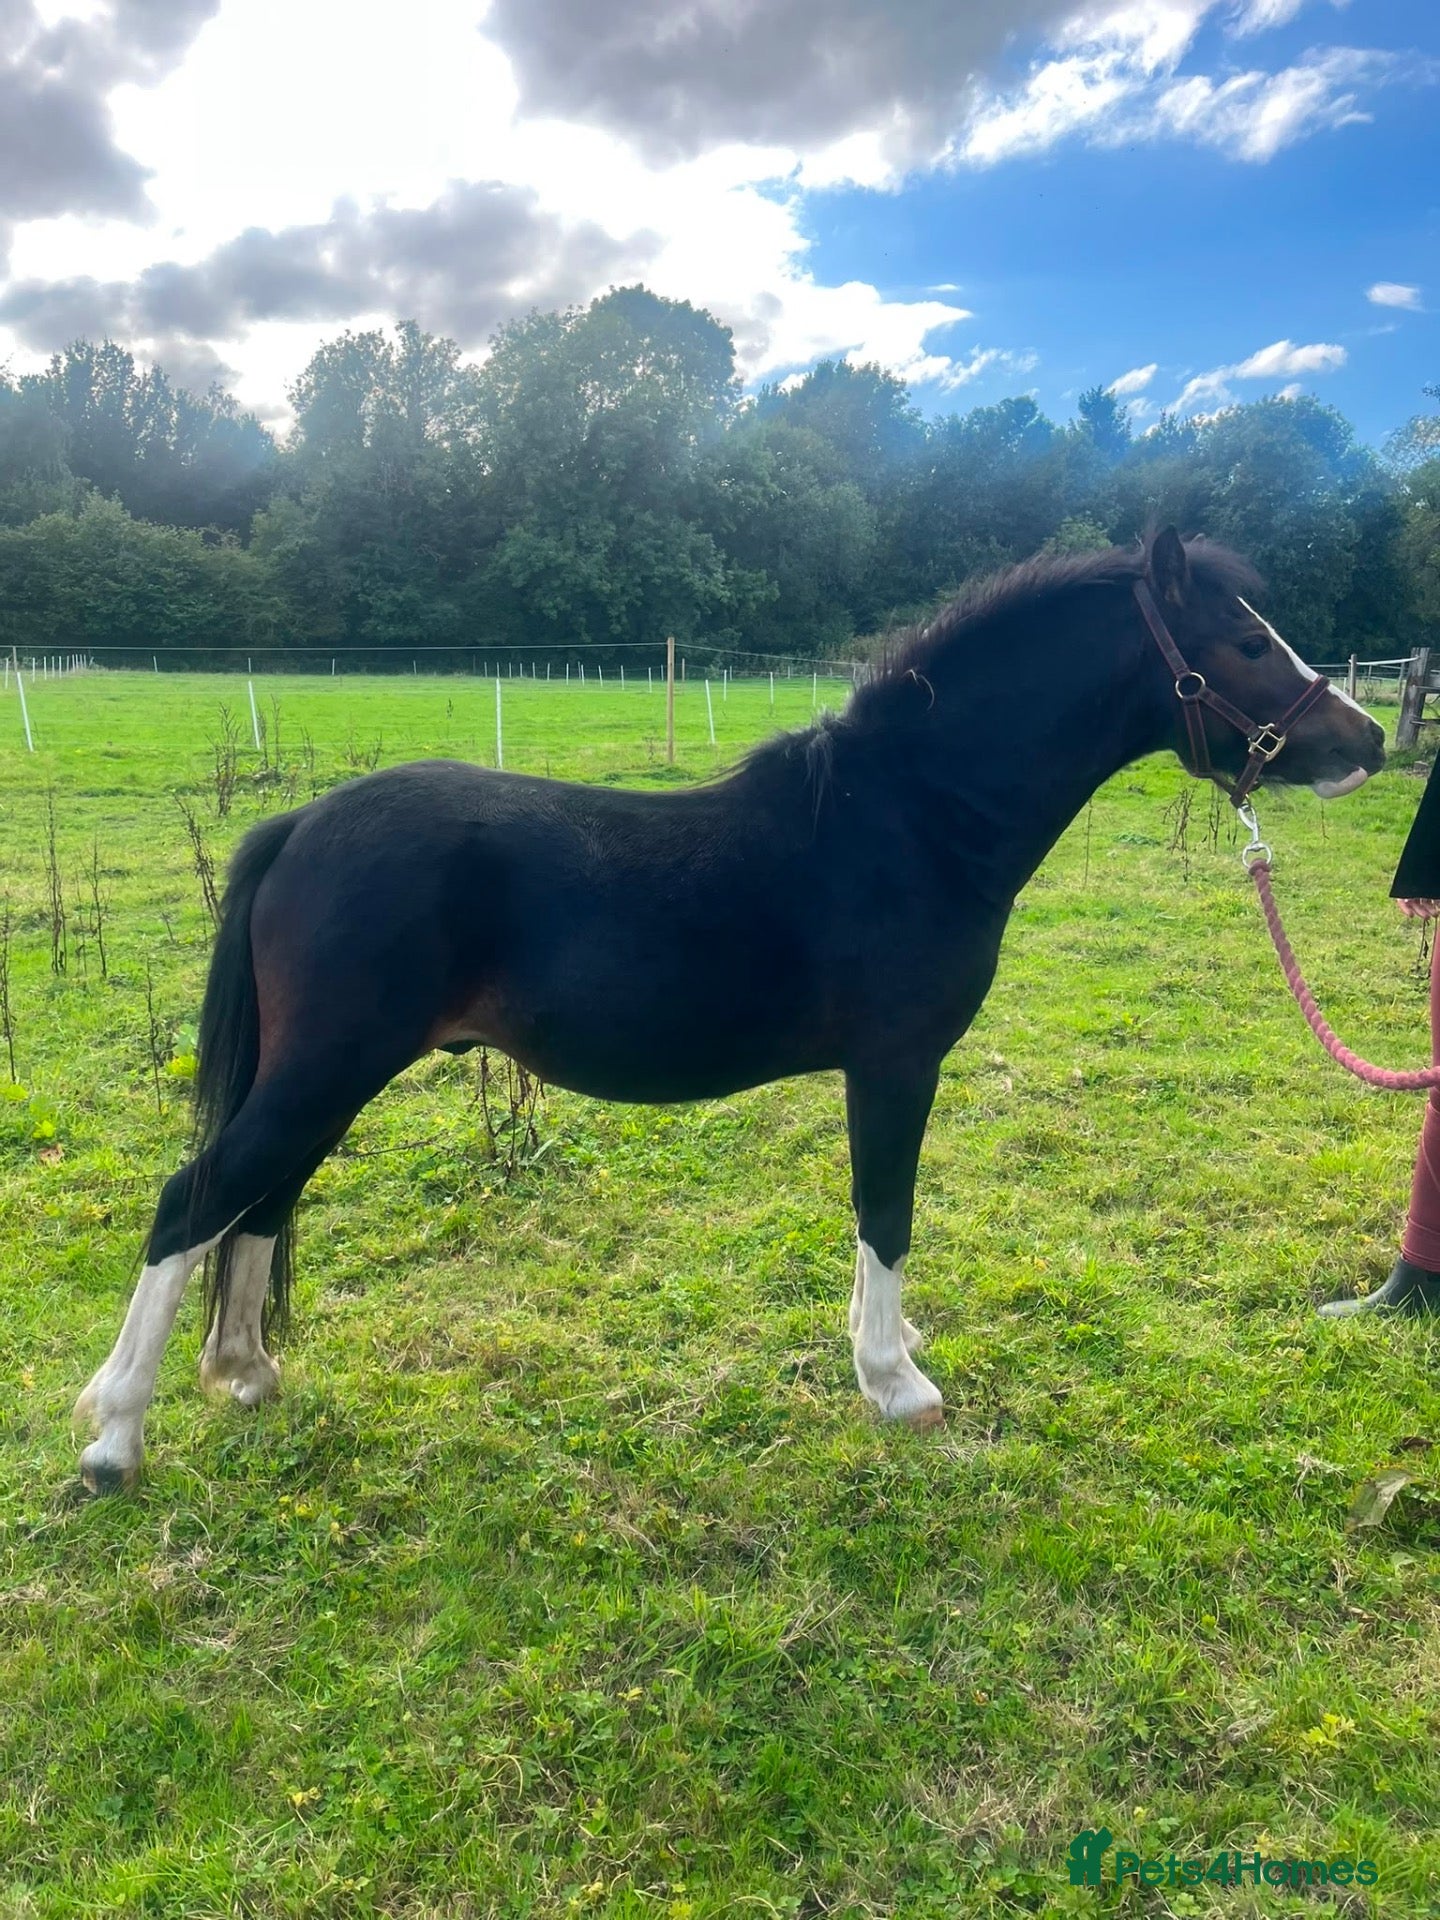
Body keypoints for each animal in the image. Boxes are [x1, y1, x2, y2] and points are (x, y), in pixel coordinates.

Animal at [73, 528, 1385, 1492]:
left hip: (328, 1077)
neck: (908, 818)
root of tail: (300, 824)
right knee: (193, 1199)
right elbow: (887, 1213)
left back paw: (243, 1375)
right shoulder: (896, 1065)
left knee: (257, 1203)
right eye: (1243, 640)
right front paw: (896, 1385)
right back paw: (113, 1439)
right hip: (327, 1068)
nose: (1365, 738)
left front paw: (887, 1355)